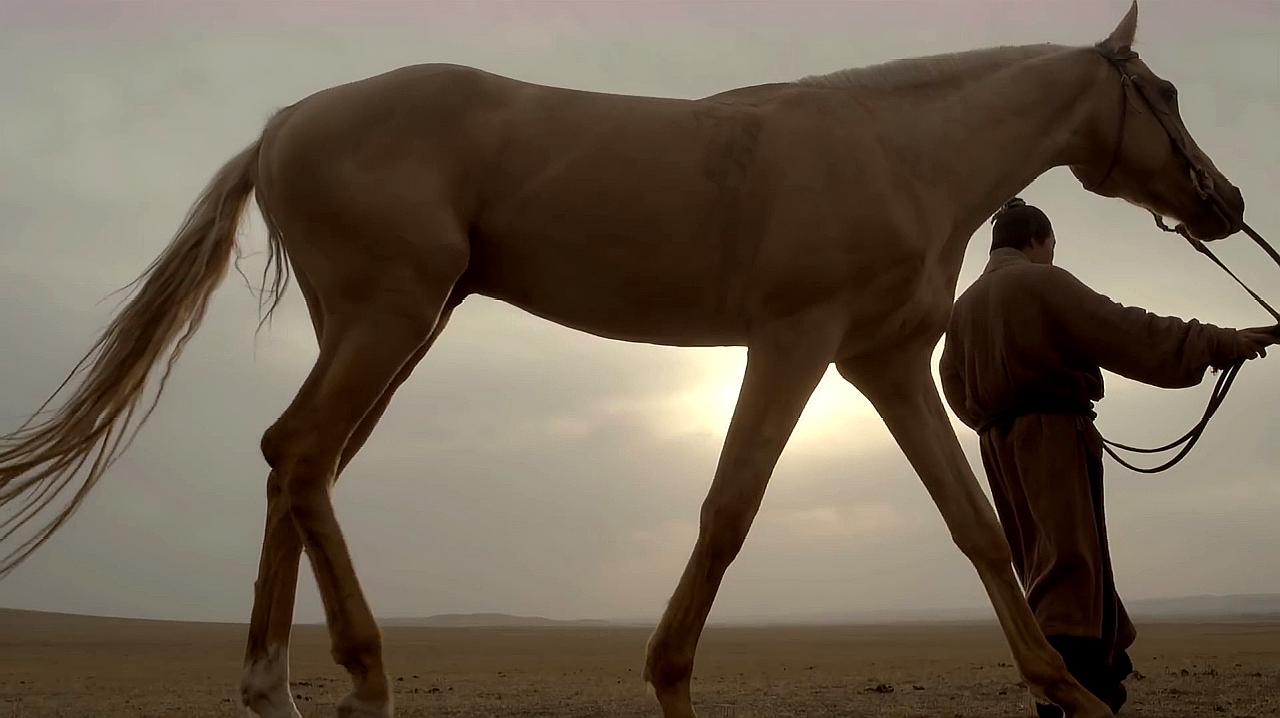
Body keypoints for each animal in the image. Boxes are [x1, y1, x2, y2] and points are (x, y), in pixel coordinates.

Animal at [0, 1, 1244, 716]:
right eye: (1165, 92)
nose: (1225, 202)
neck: (897, 153)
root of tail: (276, 128)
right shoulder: (793, 340)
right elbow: (727, 510)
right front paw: (668, 680)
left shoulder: (881, 364)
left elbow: (973, 525)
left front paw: (1062, 688)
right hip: (387, 318)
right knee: (300, 452)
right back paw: (362, 678)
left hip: (384, 329)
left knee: (298, 467)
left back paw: (278, 689)